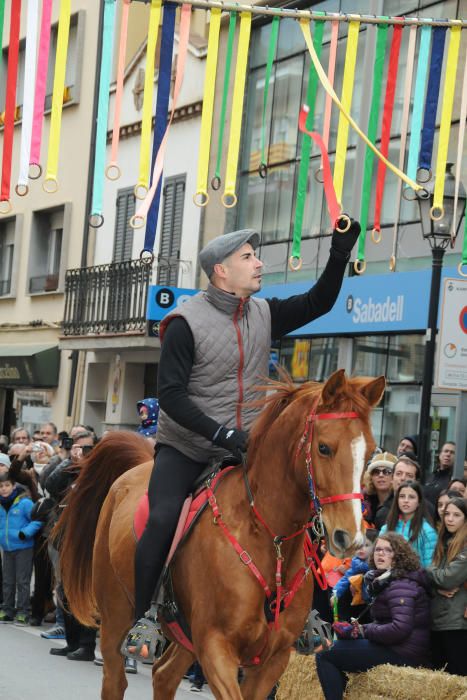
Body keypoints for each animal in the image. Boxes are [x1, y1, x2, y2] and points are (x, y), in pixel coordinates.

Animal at [58, 370, 386, 696]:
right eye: (324, 448)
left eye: (370, 452)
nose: (350, 537)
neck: (269, 539)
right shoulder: (216, 647)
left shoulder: (273, 658)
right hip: (116, 618)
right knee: (116, 680)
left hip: (184, 637)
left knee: (164, 675)